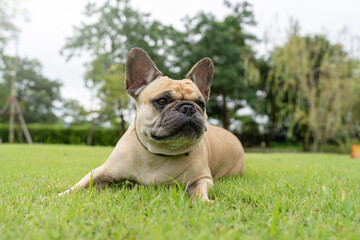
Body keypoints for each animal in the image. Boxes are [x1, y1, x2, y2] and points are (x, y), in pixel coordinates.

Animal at [59, 47, 245, 201]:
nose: (188, 108)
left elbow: (200, 191)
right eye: (162, 101)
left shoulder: (202, 179)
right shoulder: (102, 171)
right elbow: (81, 184)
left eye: (201, 104)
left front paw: (204, 202)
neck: (160, 153)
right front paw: (60, 195)